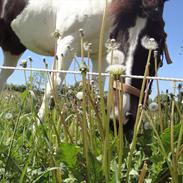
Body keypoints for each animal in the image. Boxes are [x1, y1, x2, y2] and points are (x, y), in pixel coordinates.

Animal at [0, 0, 170, 134]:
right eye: (116, 33)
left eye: (160, 38)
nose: (120, 118)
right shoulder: (67, 42)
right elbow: (52, 87)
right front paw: (36, 131)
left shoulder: (99, 56)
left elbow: (93, 92)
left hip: (13, 49)